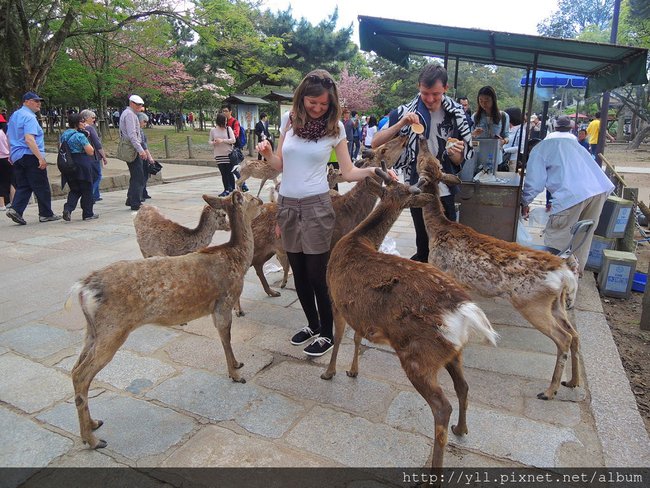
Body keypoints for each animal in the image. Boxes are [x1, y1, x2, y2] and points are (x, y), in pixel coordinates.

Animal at [64, 192, 260, 450]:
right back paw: (93, 440)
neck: (236, 258)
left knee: (74, 368)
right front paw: (236, 375)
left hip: (92, 331)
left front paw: (237, 365)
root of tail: (82, 289)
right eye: (252, 198)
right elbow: (225, 338)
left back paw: (94, 424)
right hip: (112, 329)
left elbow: (225, 339)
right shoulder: (223, 302)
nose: (263, 202)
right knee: (81, 374)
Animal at [320, 164, 496, 468]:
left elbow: (340, 336)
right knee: (463, 386)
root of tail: (463, 309)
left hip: (418, 355)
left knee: (442, 406)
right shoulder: (360, 312)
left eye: (407, 194)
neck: (357, 238)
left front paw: (330, 372)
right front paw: (353, 370)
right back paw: (462, 429)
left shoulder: (335, 296)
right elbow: (356, 338)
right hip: (453, 351)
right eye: (398, 192)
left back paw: (434, 470)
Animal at [416, 136, 576, 400]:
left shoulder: (441, 268)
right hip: (557, 303)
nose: (420, 138)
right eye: (432, 159)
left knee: (563, 338)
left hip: (532, 302)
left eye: (424, 160)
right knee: (574, 333)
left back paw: (549, 391)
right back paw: (573, 382)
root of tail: (565, 273)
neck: (437, 229)